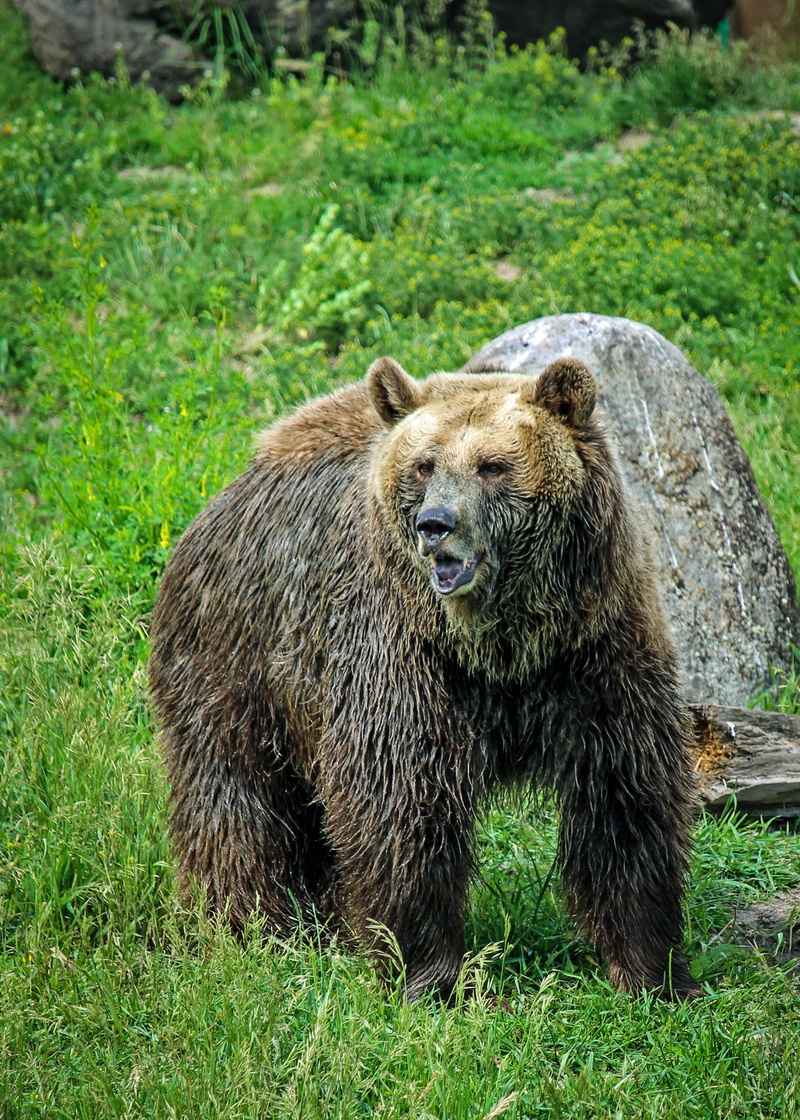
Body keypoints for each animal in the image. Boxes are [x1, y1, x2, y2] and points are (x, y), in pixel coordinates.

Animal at [149, 355, 699, 1001]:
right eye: (425, 464)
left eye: (493, 465)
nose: (435, 523)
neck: (502, 645)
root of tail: (222, 497)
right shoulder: (402, 656)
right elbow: (401, 800)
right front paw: (427, 974)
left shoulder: (595, 647)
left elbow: (624, 794)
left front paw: (653, 970)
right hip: (237, 657)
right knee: (236, 798)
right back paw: (254, 925)